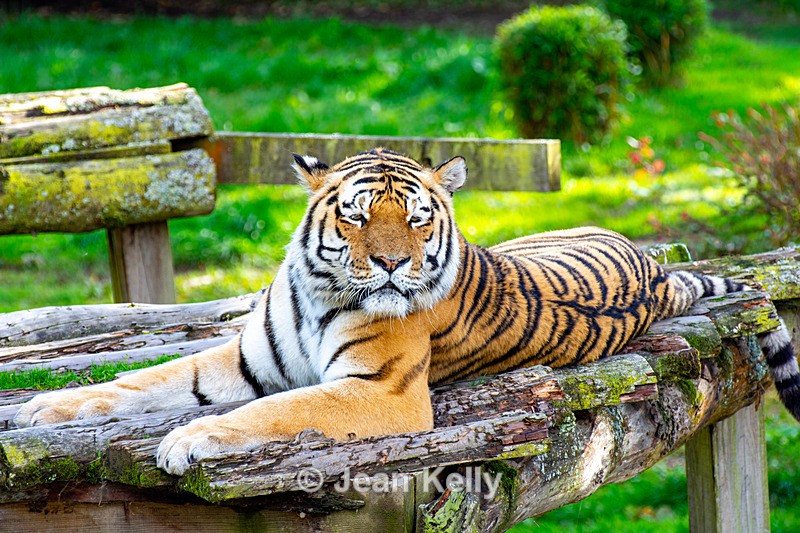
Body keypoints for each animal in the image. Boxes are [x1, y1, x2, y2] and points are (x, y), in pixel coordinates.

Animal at [15, 148, 800, 476]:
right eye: (359, 216)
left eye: (418, 219)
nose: (394, 263)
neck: (320, 290)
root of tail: (657, 267)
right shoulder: (241, 358)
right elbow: (143, 380)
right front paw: (43, 410)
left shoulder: (382, 394)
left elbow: (269, 411)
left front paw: (187, 439)